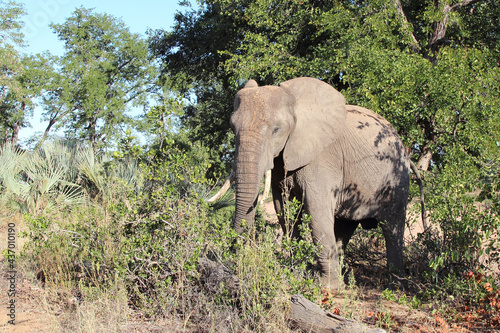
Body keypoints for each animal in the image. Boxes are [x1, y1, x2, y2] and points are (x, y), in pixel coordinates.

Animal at [224, 77, 418, 288]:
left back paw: (395, 284)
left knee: (392, 229)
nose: (240, 258)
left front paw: (328, 287)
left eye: (276, 129)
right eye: (232, 127)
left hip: (398, 178)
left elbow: (317, 210)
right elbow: (284, 210)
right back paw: (345, 277)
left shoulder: (323, 157)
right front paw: (297, 274)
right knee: (344, 227)